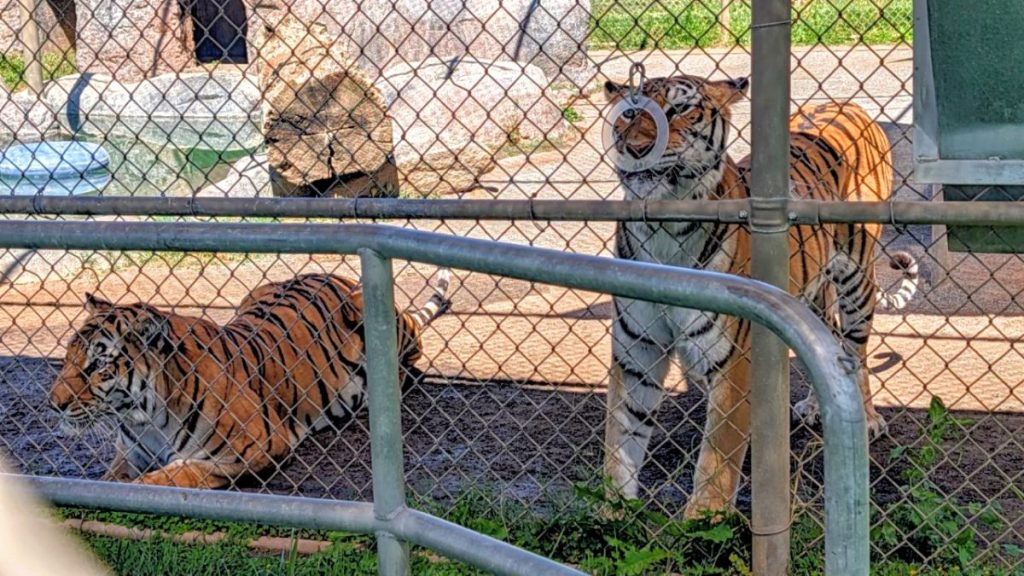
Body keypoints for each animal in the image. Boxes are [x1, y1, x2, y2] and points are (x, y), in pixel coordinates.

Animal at [49, 269, 452, 489]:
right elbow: (112, 479)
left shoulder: (254, 446)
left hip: (381, 323)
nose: (54, 404)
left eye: (97, 366)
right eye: (68, 358)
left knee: (411, 358)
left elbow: (177, 475)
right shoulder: (129, 453)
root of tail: (336, 275)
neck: (144, 415)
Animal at [601, 72, 919, 517]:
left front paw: (700, 523)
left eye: (680, 109)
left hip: (858, 275)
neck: (662, 226)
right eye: (631, 112)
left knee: (854, 351)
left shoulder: (734, 360)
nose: (637, 148)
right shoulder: (637, 350)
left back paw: (869, 417)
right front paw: (610, 515)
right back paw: (813, 408)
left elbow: (716, 459)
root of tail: (847, 104)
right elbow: (621, 441)